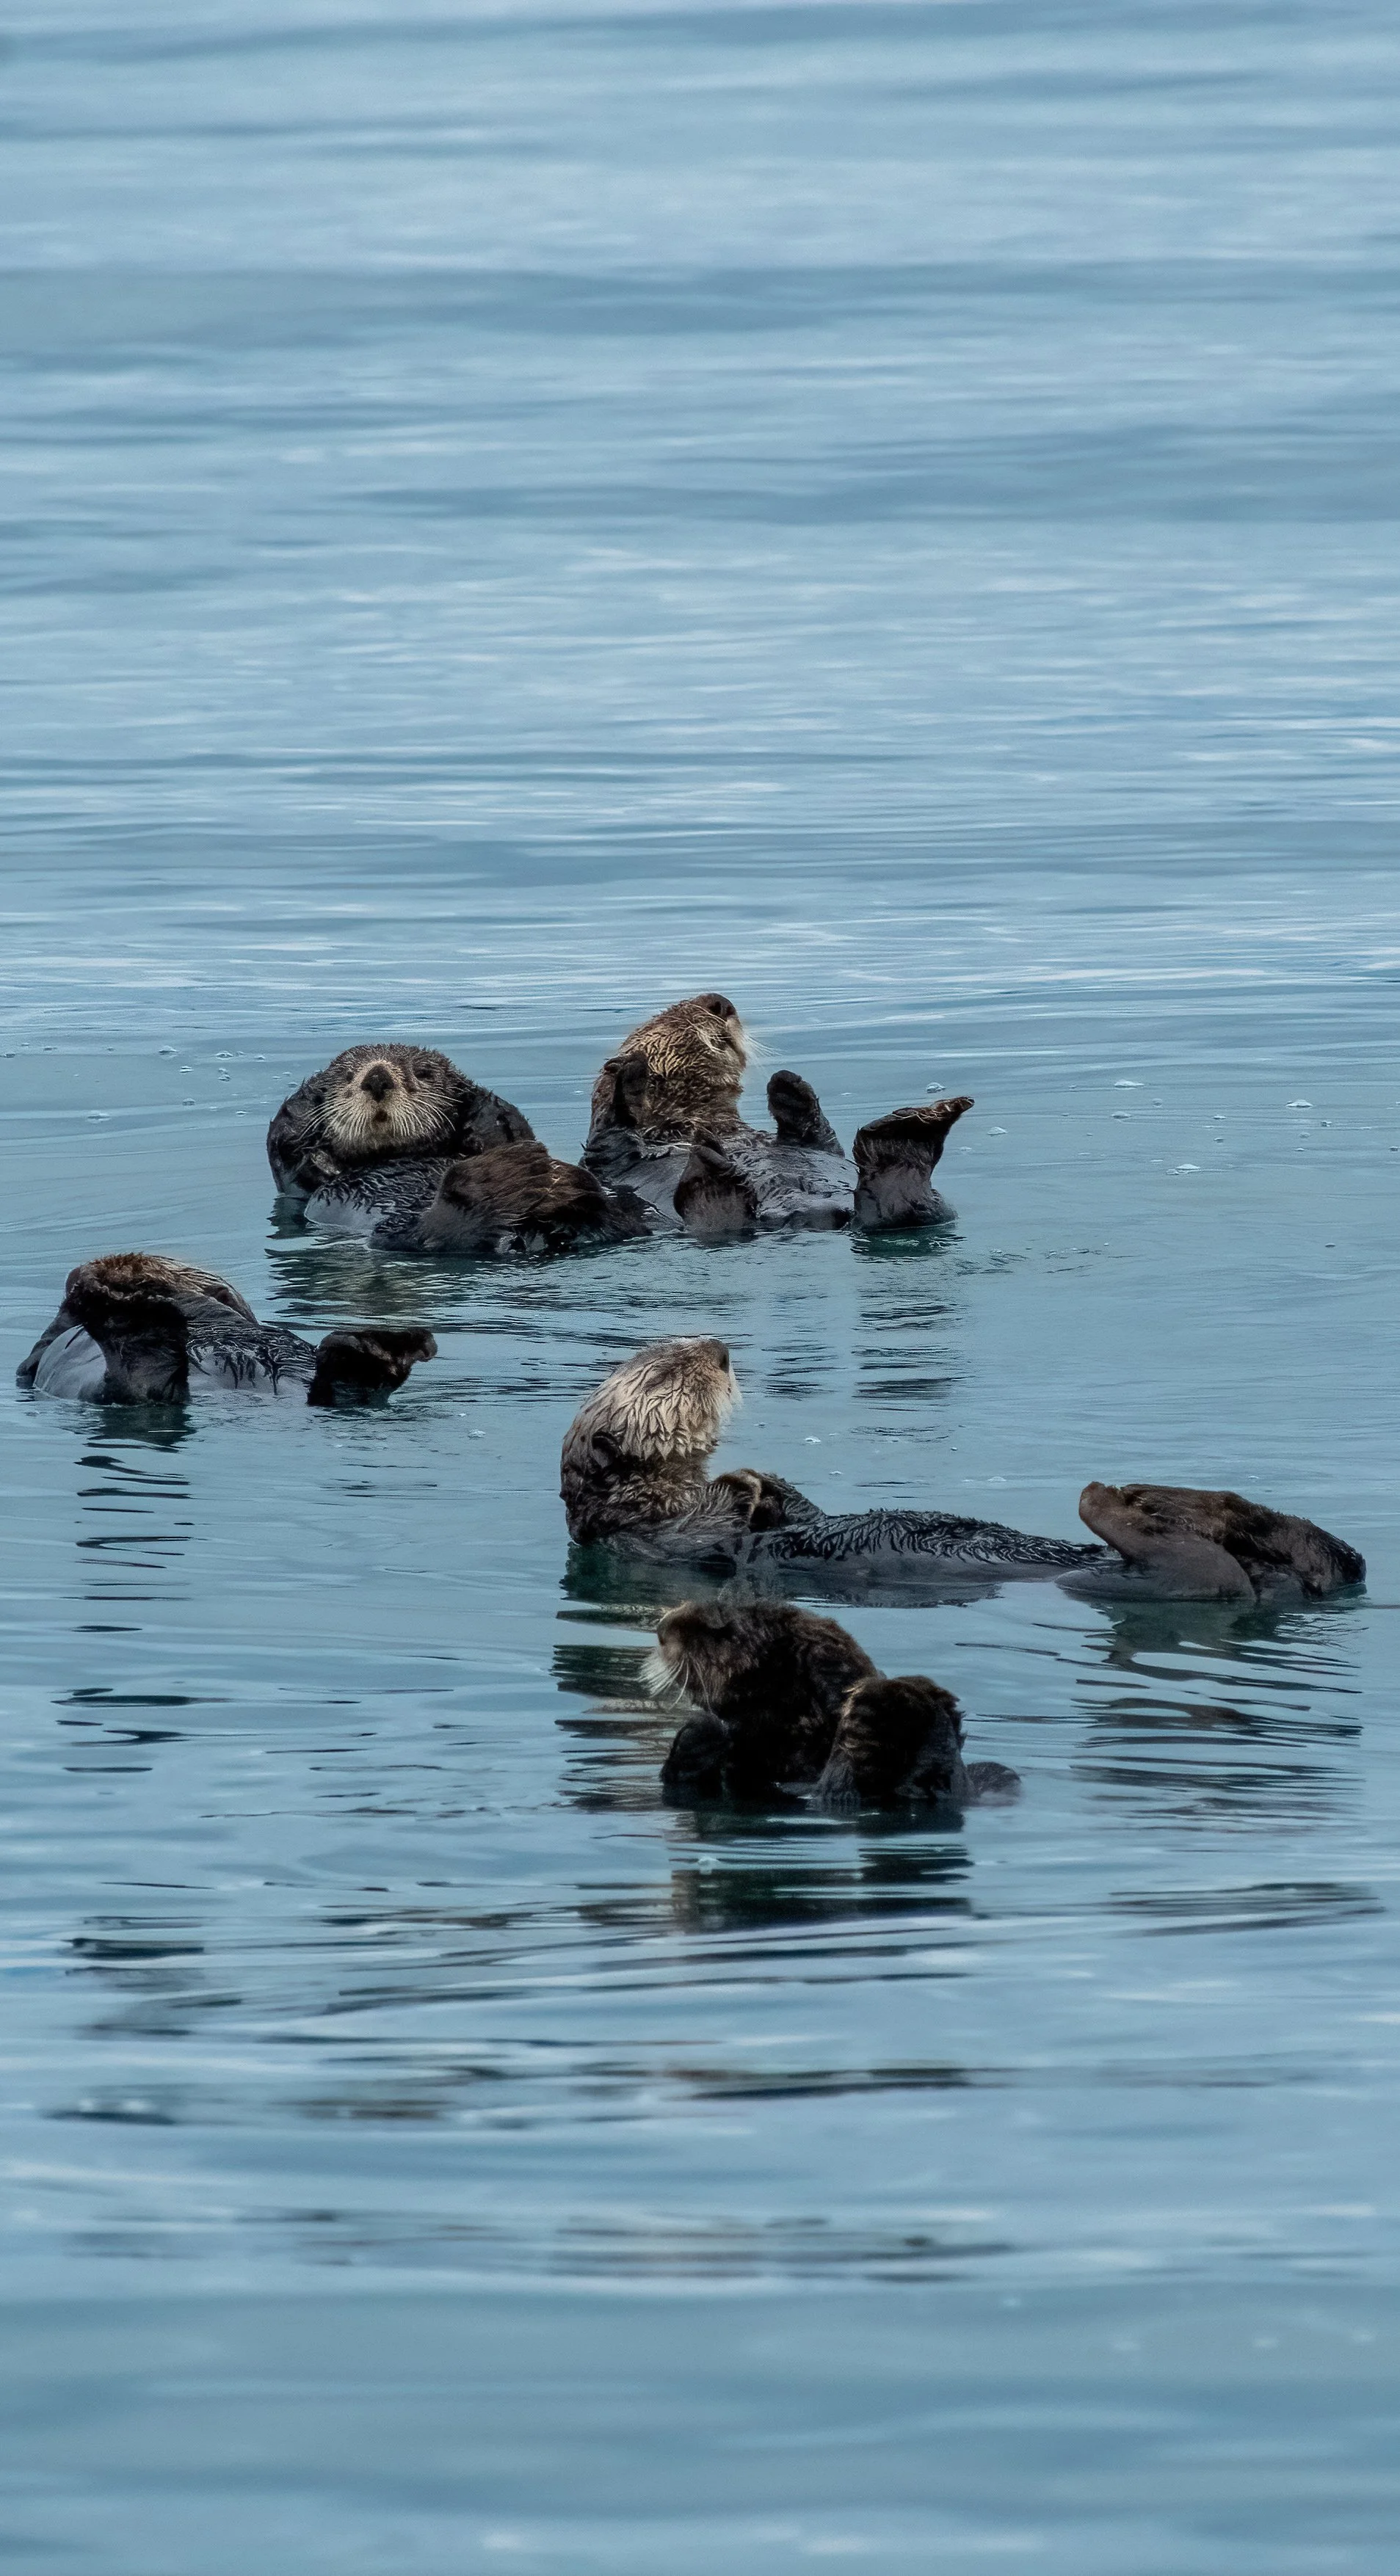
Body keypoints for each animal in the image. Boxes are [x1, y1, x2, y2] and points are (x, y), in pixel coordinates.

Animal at [560, 1338, 1364, 1602]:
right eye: (667, 1369)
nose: (722, 1350)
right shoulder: (652, 1538)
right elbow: (714, 1525)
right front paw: (742, 1486)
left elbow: (798, 1508)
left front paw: (764, 1479)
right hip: (1149, 1584)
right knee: (1208, 1575)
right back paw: (1114, 1498)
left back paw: (1178, 1499)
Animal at [583, 991, 973, 1233]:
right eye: (670, 1017)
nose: (719, 1002)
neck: (703, 1124)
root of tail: (812, 1216)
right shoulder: (608, 1151)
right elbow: (613, 1130)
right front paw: (629, 1074)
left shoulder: (815, 1142)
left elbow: (817, 1136)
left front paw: (788, 1085)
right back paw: (711, 1172)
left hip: (934, 1209)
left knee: (902, 1211)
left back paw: (910, 1140)